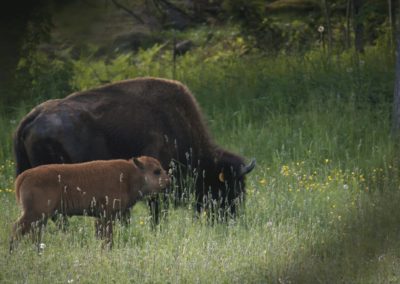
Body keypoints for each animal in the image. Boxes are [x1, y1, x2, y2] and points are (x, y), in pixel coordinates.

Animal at [9, 155, 169, 251]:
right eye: (156, 171)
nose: (168, 180)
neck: (130, 176)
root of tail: (23, 176)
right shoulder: (107, 215)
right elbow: (107, 237)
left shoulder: (101, 217)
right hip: (35, 214)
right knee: (17, 228)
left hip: (41, 217)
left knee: (34, 233)